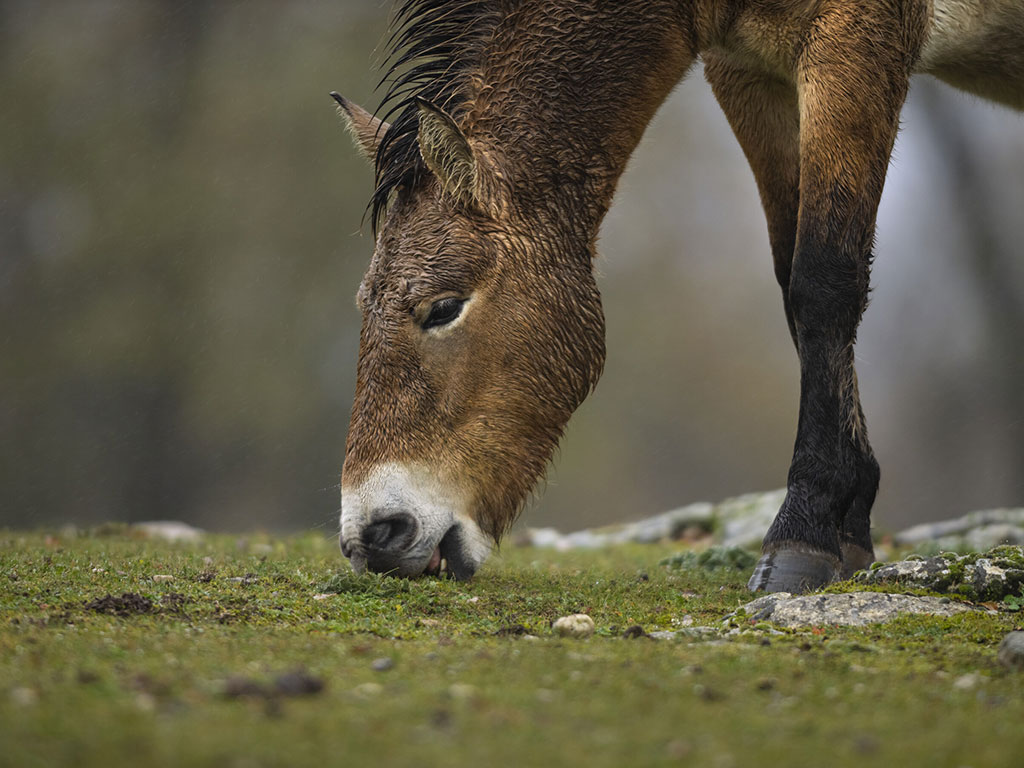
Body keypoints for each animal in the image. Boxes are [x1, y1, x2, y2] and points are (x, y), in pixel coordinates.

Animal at [333, 0, 1024, 592]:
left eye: (443, 308)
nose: (373, 535)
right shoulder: (747, 71)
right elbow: (790, 284)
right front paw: (848, 524)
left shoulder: (858, 40)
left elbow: (823, 282)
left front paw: (804, 534)